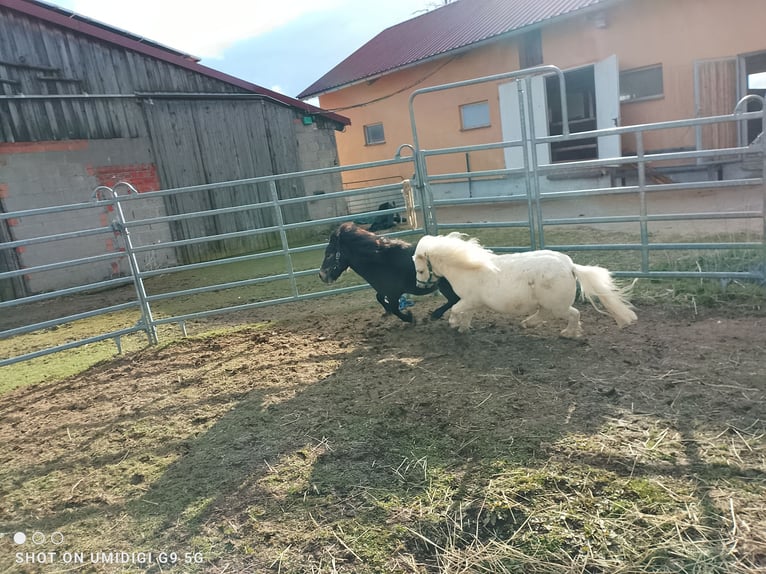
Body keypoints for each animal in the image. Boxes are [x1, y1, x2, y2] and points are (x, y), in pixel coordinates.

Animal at [319, 222, 459, 323]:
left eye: (329, 254)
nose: (321, 275)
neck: (382, 261)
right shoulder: (384, 289)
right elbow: (379, 298)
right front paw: (387, 312)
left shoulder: (394, 293)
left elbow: (394, 307)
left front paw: (409, 317)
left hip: (446, 286)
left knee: (454, 299)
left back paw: (435, 315)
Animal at [413, 232, 637, 337]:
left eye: (420, 270)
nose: (420, 285)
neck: (467, 268)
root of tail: (570, 266)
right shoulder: (471, 302)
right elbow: (465, 314)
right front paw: (462, 328)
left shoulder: (469, 300)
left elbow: (456, 310)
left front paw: (453, 323)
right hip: (548, 303)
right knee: (545, 314)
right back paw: (528, 323)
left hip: (558, 305)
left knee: (574, 314)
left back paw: (567, 333)